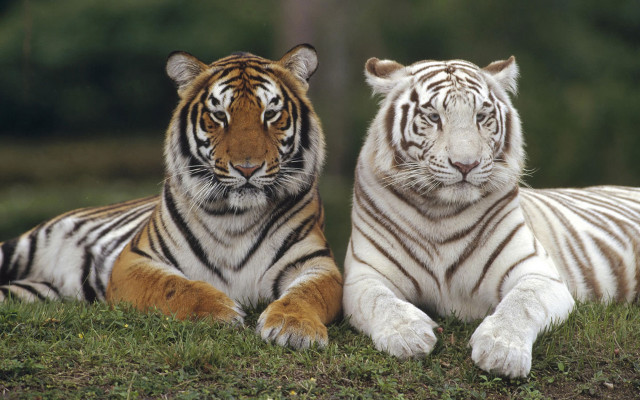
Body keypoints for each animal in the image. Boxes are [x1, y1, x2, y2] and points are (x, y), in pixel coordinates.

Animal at [0, 44, 343, 350]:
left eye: (270, 114)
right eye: (219, 115)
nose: (247, 168)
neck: (236, 216)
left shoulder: (317, 264)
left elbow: (307, 293)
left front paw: (294, 327)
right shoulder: (134, 260)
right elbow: (174, 286)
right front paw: (221, 310)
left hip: (37, 292)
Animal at [343, 55, 640, 378]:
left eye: (481, 116)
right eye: (433, 117)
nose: (465, 164)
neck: (440, 213)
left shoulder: (538, 272)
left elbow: (522, 303)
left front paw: (501, 350)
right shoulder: (364, 275)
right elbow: (379, 300)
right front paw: (407, 335)